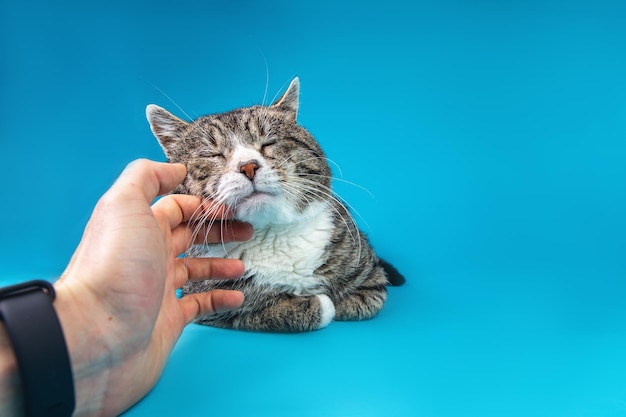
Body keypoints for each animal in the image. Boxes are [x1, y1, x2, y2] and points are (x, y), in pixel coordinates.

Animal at [148, 77, 404, 332]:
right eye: (213, 155)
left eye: (268, 143)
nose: (248, 166)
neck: (271, 234)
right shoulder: (206, 301)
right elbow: (256, 312)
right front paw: (318, 304)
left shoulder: (372, 276)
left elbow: (364, 300)